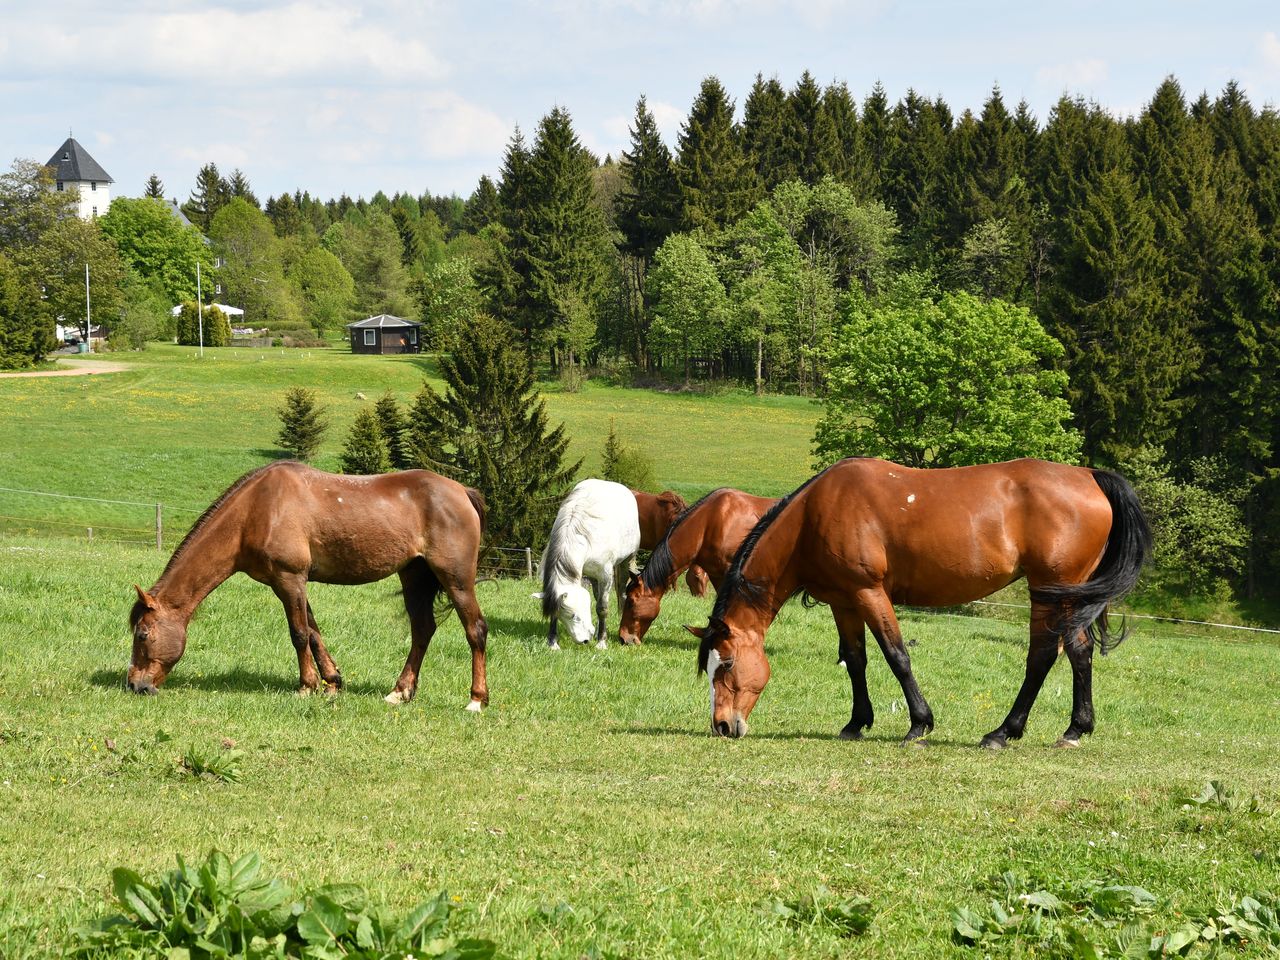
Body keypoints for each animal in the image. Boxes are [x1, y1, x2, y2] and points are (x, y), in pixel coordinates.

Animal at [128, 463, 488, 711]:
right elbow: (314, 632)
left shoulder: (289, 579)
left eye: (143, 634)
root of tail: (462, 492)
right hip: (414, 576)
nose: (134, 685)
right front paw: (332, 683)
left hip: (455, 579)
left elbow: (299, 634)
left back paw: (476, 700)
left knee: (476, 630)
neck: (256, 510)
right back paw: (400, 692)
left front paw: (306, 686)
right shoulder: (292, 584)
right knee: (422, 630)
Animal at [535, 481, 645, 655]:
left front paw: (602, 642)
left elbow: (602, 607)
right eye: (562, 616)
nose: (584, 640)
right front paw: (553, 643)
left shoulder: (605, 576)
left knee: (621, 591)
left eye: (574, 615)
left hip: (627, 560)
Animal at [696, 460, 1157, 752]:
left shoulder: (870, 593)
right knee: (1078, 652)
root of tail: (1089, 476)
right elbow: (856, 659)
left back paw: (1003, 732)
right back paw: (1074, 729)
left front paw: (918, 724)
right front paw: (856, 723)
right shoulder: (844, 601)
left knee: (1043, 655)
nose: (722, 725)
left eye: (728, 664)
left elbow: (897, 656)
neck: (814, 515)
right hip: (1069, 596)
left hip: (1051, 590)